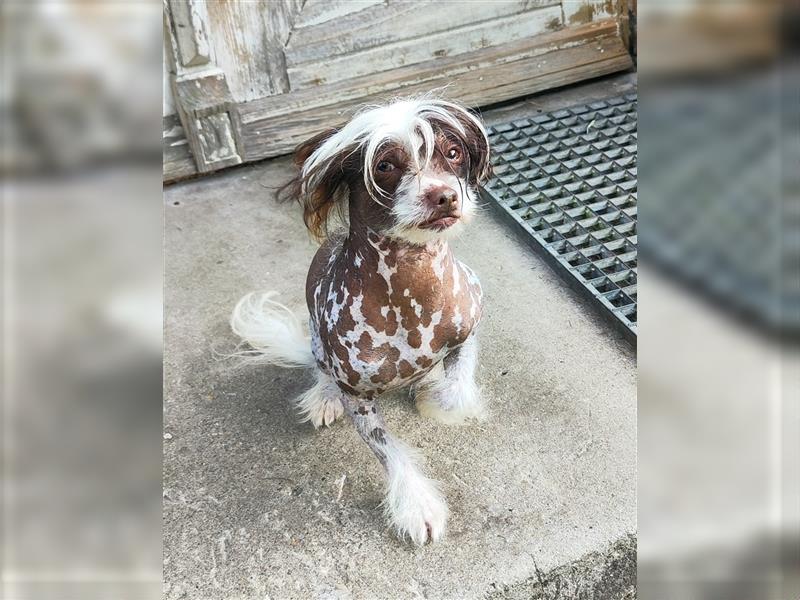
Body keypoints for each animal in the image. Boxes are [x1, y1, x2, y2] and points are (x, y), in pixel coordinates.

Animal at [231, 95, 490, 544]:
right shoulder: (357, 395)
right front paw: (416, 503)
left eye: (454, 153)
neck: (411, 289)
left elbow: (458, 387)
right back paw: (323, 396)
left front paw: (439, 402)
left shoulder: (469, 328)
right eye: (385, 165)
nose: (443, 196)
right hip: (318, 345)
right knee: (320, 369)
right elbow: (388, 451)